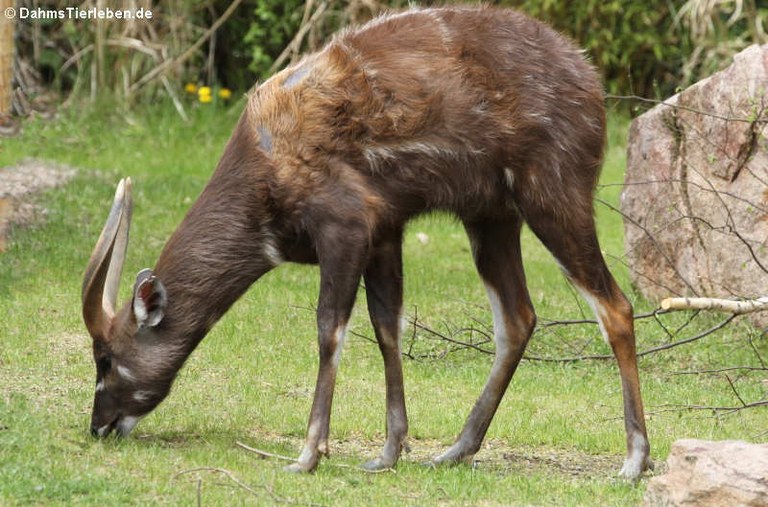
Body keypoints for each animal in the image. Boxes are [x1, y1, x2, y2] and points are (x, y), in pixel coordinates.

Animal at [82, 5, 648, 478]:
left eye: (105, 358)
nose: (99, 425)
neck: (266, 164)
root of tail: (589, 78)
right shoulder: (385, 232)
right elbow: (386, 327)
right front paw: (388, 453)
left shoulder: (346, 226)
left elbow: (329, 330)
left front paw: (308, 456)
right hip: (490, 217)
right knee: (518, 317)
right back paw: (455, 450)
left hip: (553, 196)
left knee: (615, 306)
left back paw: (633, 461)